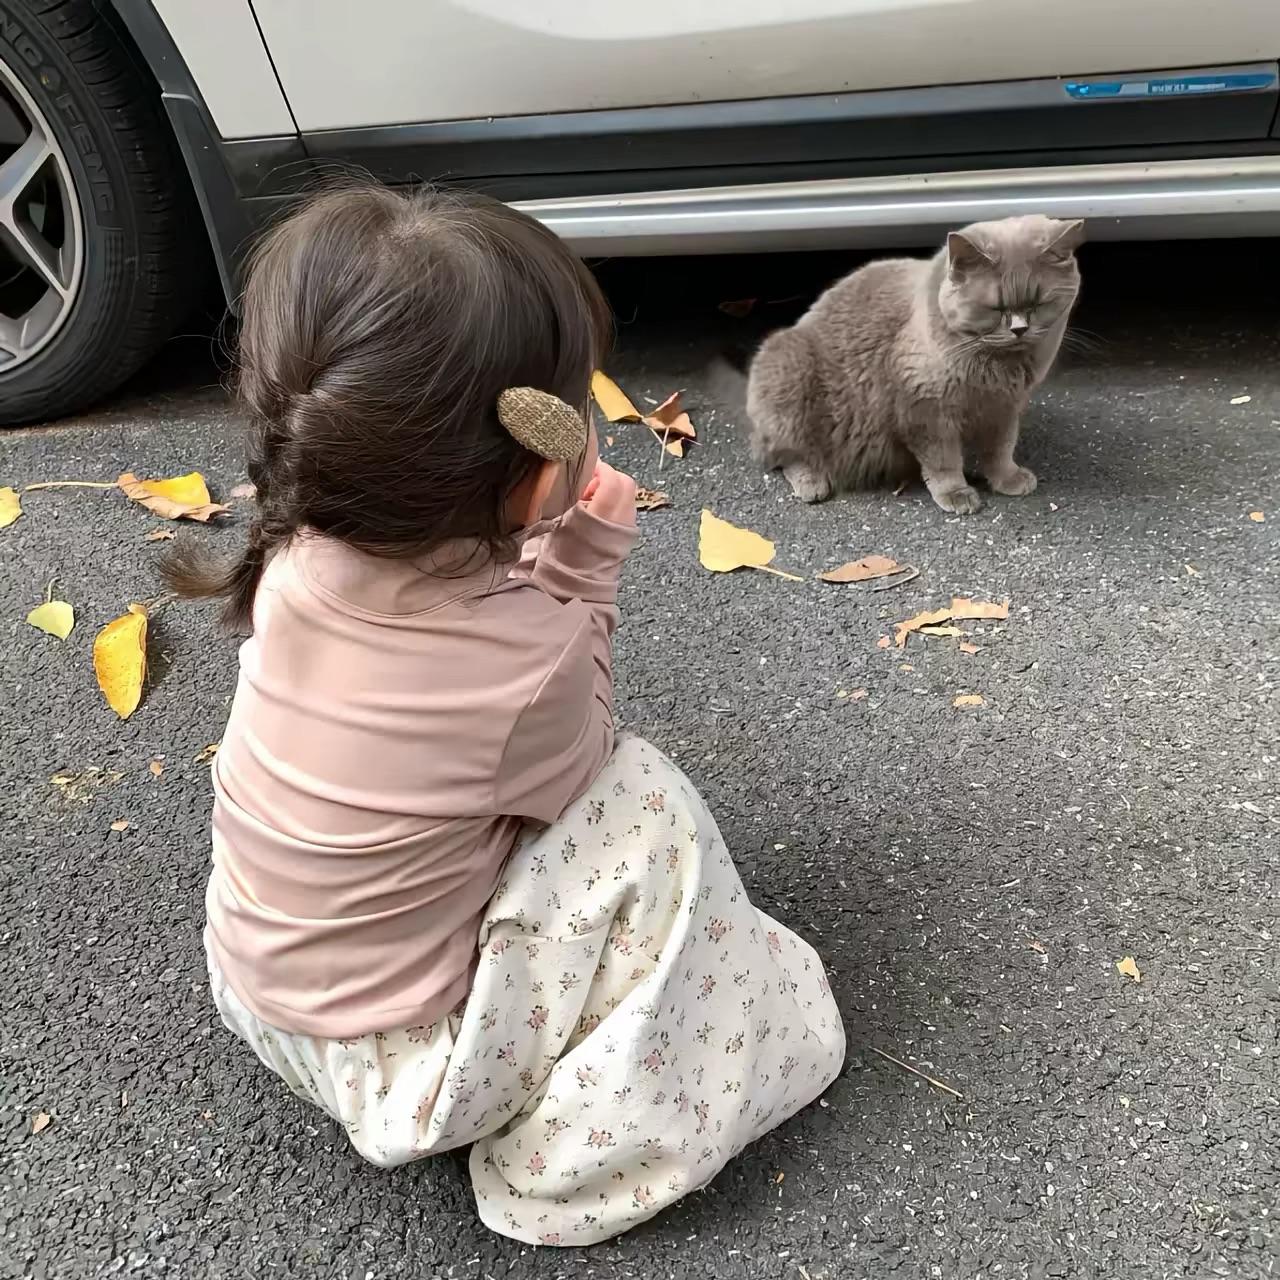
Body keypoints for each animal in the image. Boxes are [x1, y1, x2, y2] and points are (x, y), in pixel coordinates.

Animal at [747, 217, 1085, 512]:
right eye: (995, 309)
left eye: (1039, 304)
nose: (1019, 329)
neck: (995, 369)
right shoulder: (924, 407)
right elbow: (943, 458)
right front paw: (956, 493)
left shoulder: (1004, 408)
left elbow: (1001, 447)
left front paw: (1008, 478)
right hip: (787, 371)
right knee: (786, 455)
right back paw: (813, 482)